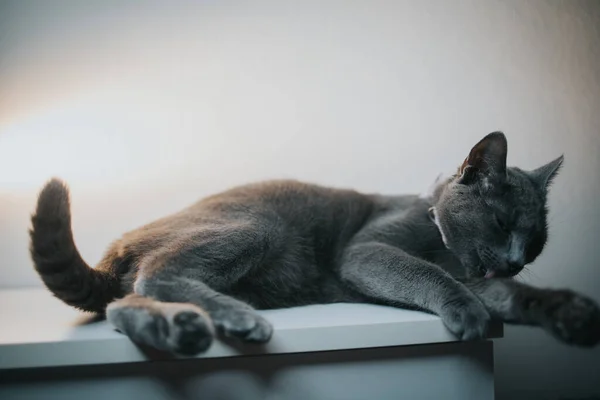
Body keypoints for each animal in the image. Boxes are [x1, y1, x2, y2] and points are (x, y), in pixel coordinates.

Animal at [30, 131, 600, 354]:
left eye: (537, 242)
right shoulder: (368, 250)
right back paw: (234, 320)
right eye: (502, 223)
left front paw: (570, 313)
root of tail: (115, 247)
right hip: (256, 225)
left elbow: (514, 297)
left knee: (121, 303)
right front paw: (468, 313)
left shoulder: (481, 277)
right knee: (156, 274)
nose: (514, 260)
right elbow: (429, 274)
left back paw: (177, 328)